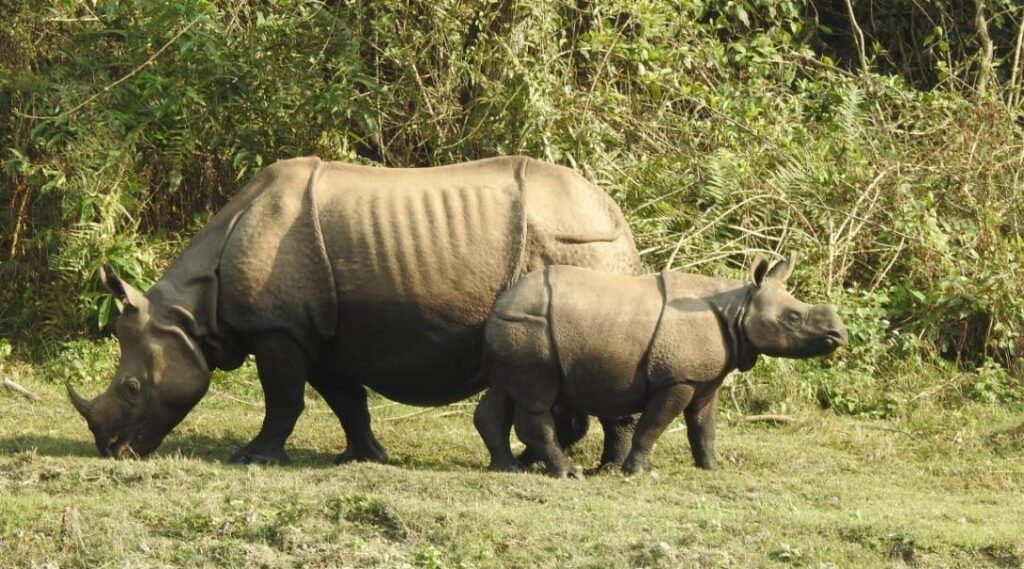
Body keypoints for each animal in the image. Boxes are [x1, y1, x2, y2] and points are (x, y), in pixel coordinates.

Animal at [67, 156, 642, 464]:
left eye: (132, 387)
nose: (110, 450)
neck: (189, 313)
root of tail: (616, 214)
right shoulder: (316, 331)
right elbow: (346, 400)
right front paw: (364, 457)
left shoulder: (278, 328)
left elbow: (283, 399)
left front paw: (253, 458)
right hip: (581, 248)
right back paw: (537, 460)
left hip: (581, 248)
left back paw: (603, 471)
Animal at [474, 253, 848, 477]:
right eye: (794, 317)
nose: (839, 333)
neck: (738, 308)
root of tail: (503, 300)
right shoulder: (677, 378)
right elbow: (653, 425)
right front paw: (640, 472)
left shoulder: (705, 378)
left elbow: (704, 426)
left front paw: (711, 468)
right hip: (532, 328)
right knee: (537, 398)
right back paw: (567, 474)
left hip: (516, 325)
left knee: (503, 391)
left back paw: (507, 467)